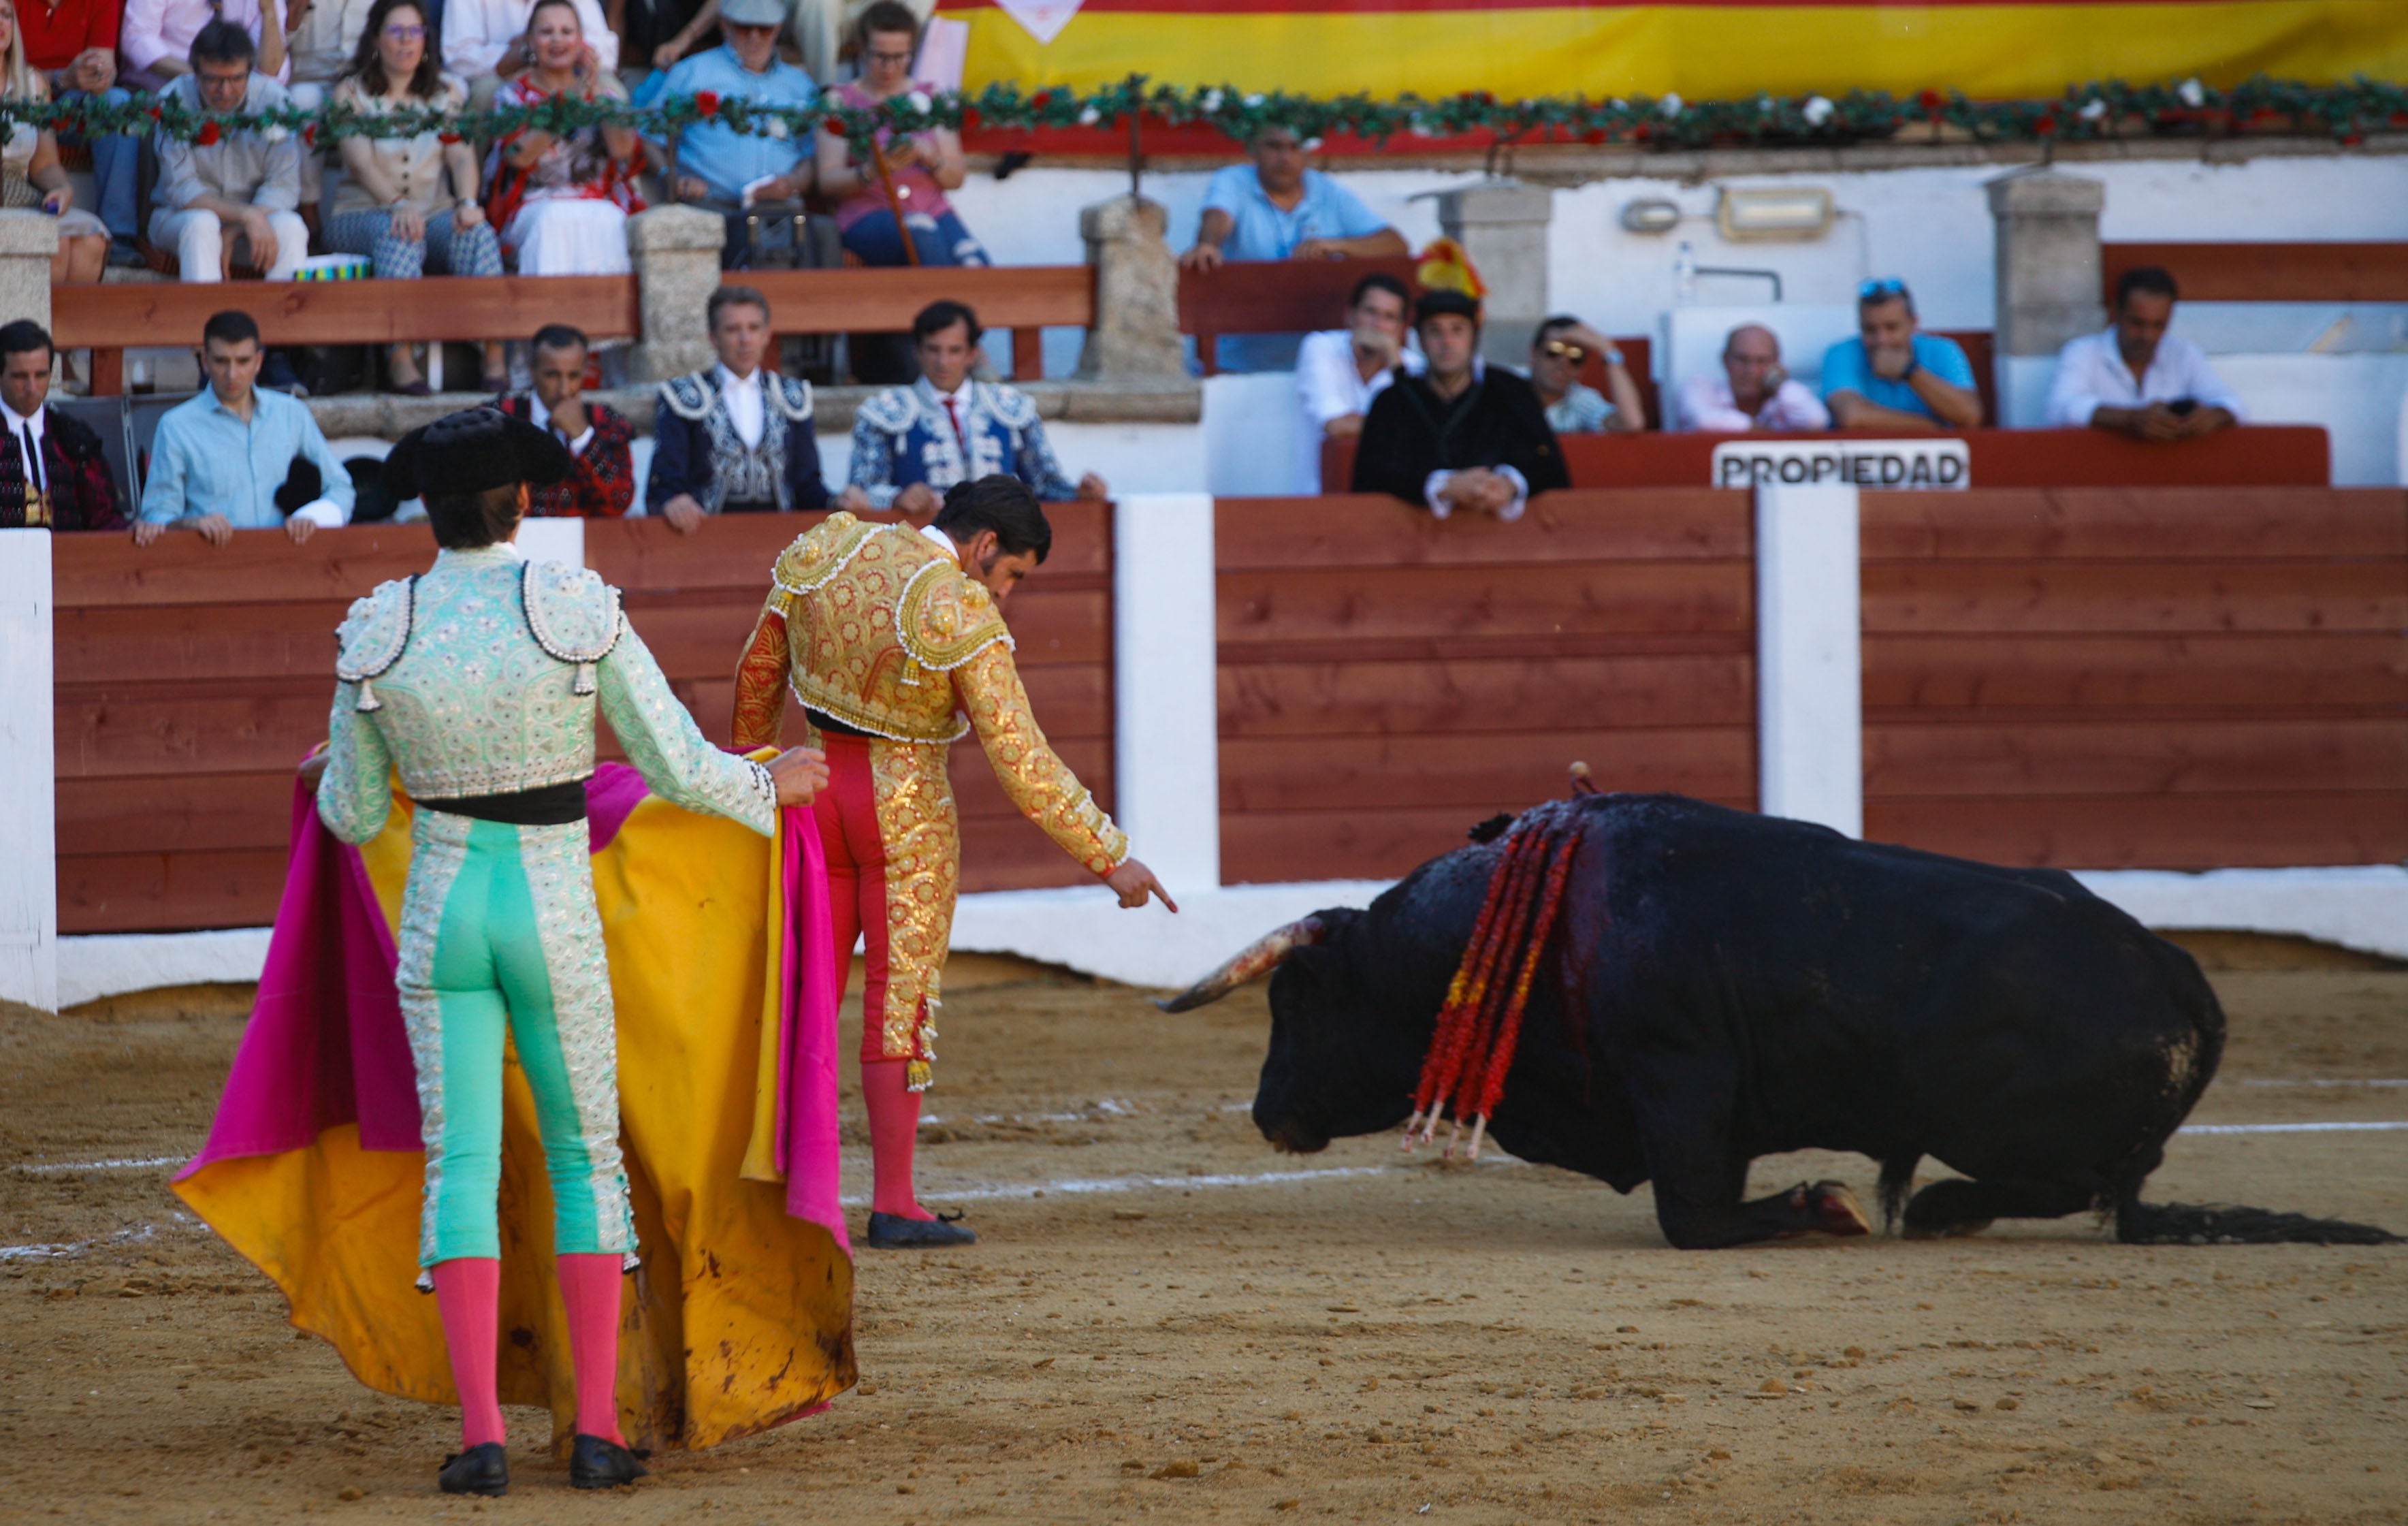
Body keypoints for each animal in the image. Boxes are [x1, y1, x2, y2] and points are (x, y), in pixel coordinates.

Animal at [1160, 789, 2388, 1241]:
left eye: (1294, 999)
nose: (1265, 1110)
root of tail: (2180, 976)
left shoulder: (1677, 1081)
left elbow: (1693, 1215)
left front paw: (1822, 1202)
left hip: (1998, 1126)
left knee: (2061, 1186)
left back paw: (1926, 1206)